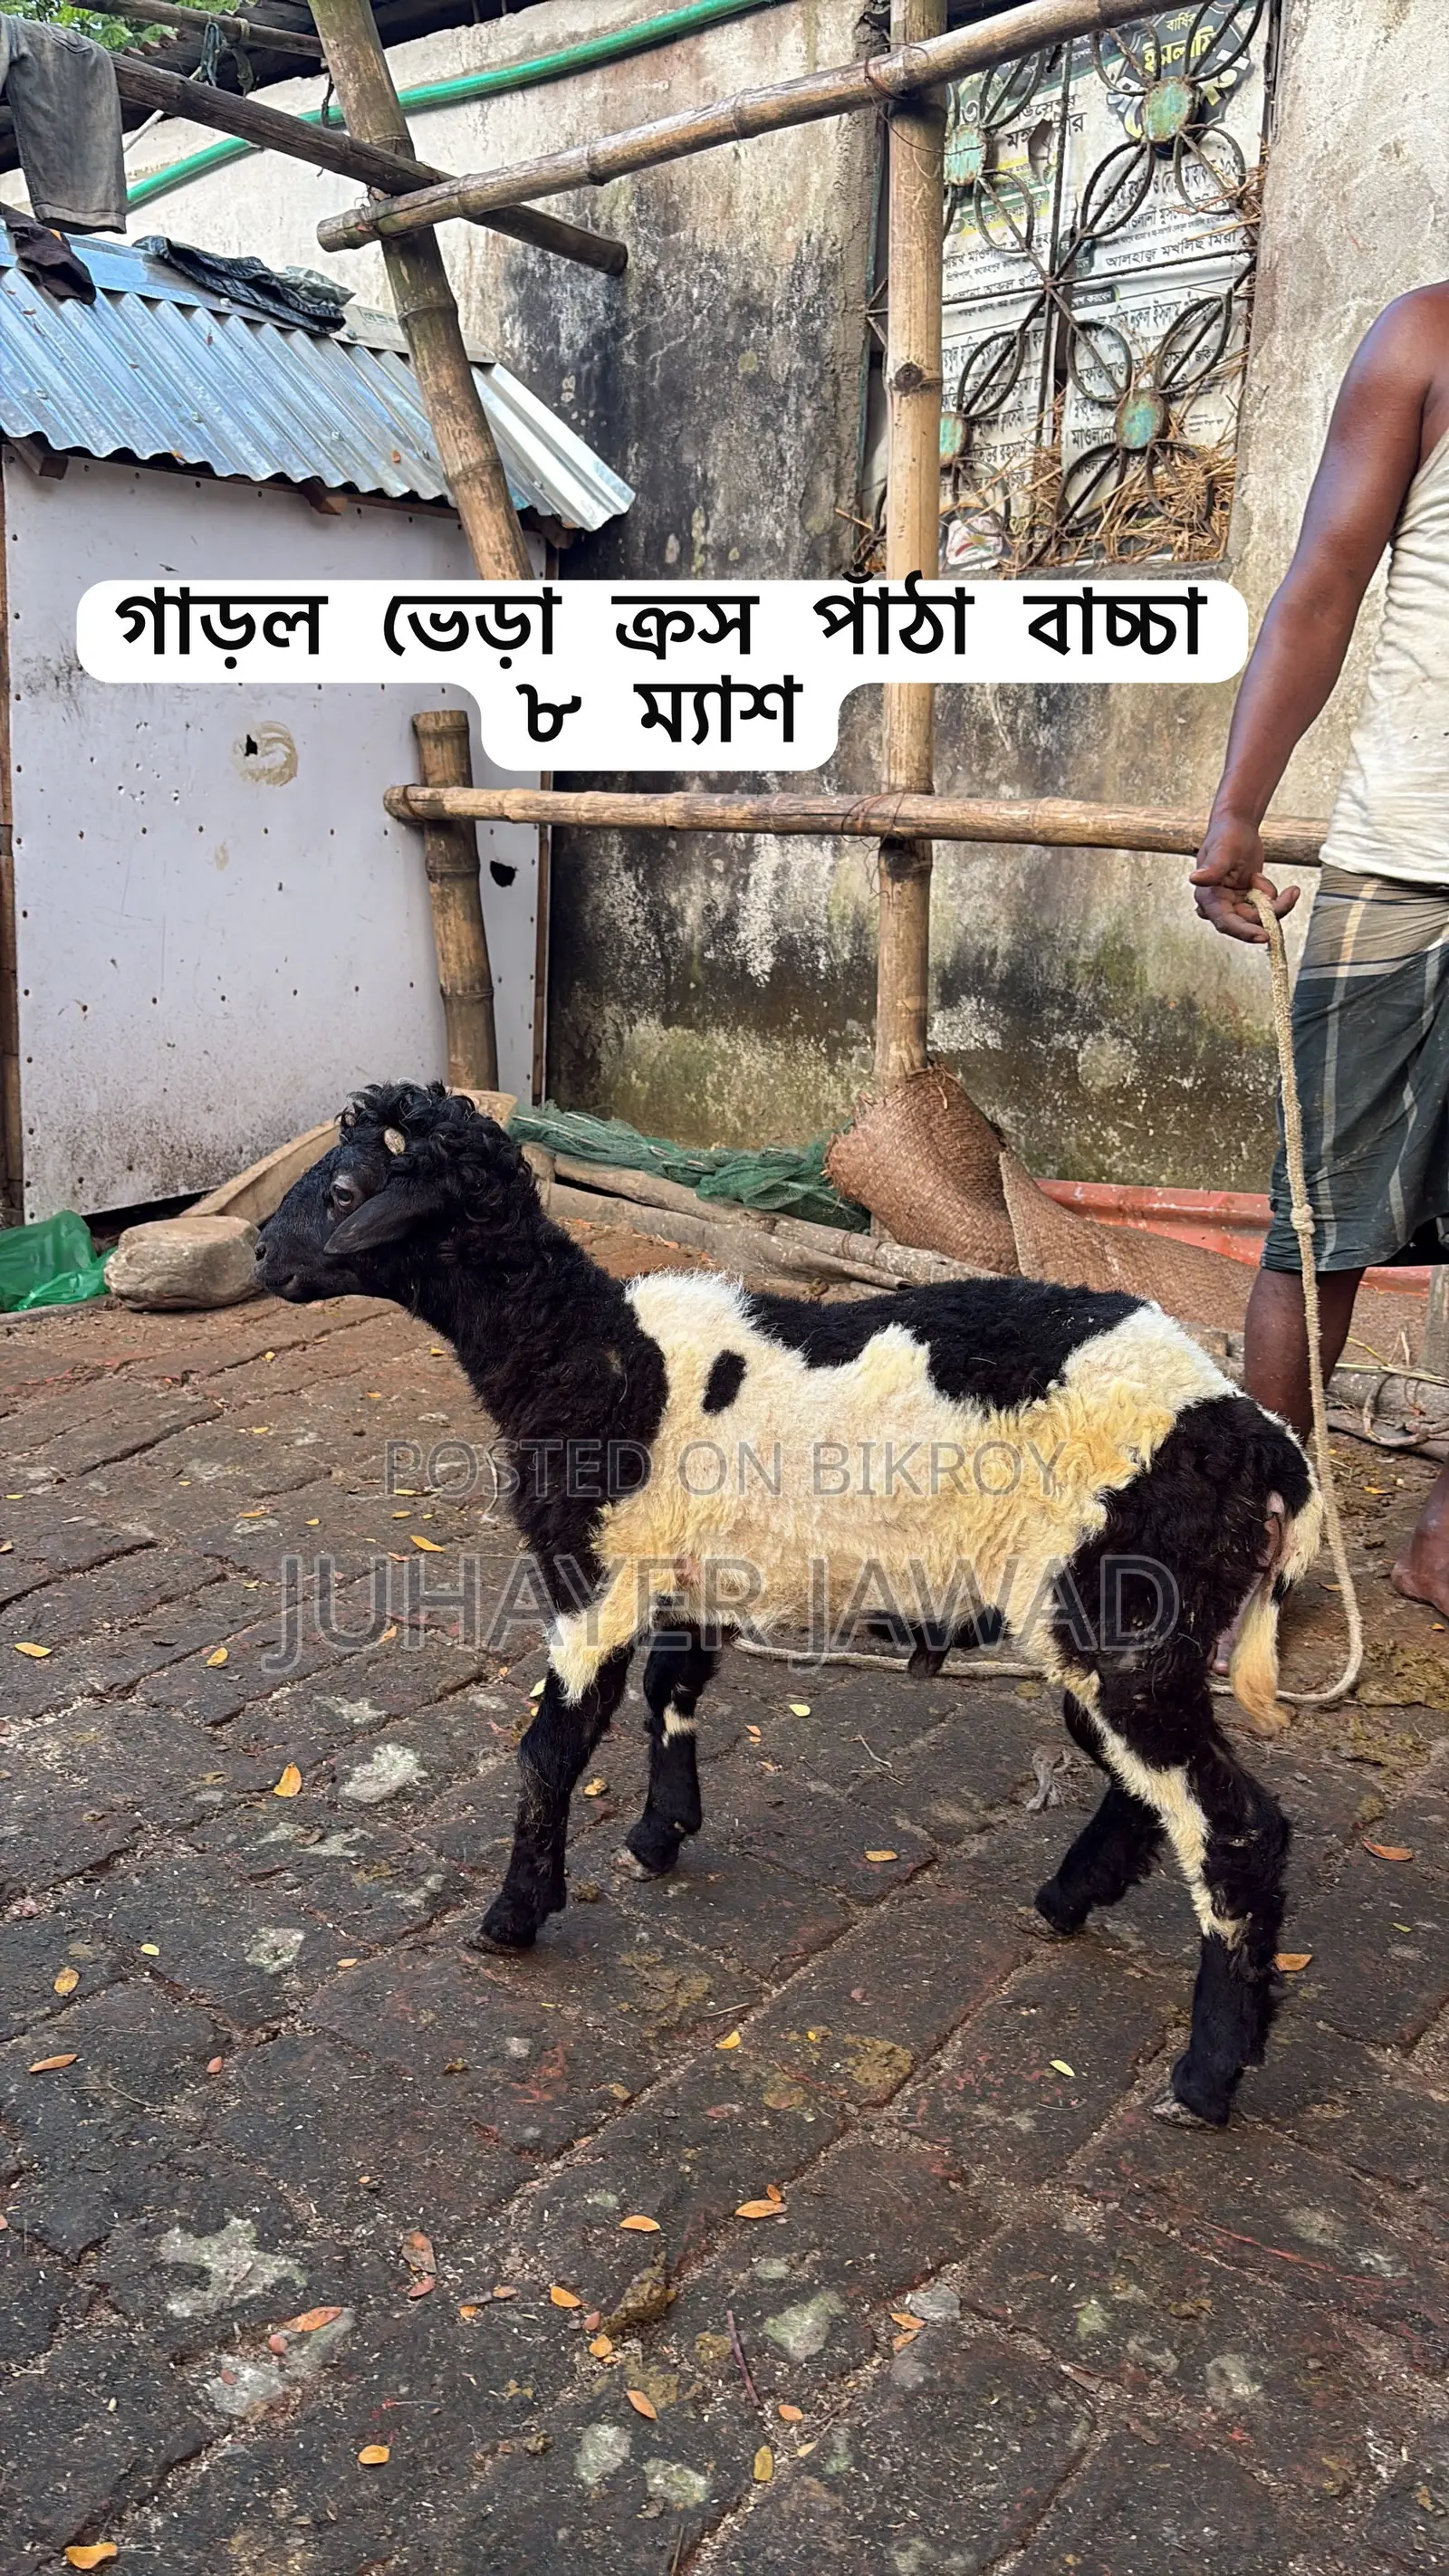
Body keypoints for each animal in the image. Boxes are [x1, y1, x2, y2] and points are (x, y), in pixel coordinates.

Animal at [258, 1082, 1323, 2128]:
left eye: (346, 1189)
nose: (264, 1252)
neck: (593, 1358)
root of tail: (1265, 1447)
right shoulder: (692, 1574)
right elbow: (672, 1693)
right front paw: (660, 1833)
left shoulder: (596, 1578)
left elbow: (548, 1752)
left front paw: (514, 1916)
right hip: (1123, 1636)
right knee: (1148, 1790)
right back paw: (1067, 1899)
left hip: (1126, 1620)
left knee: (1235, 1829)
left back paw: (1207, 2077)